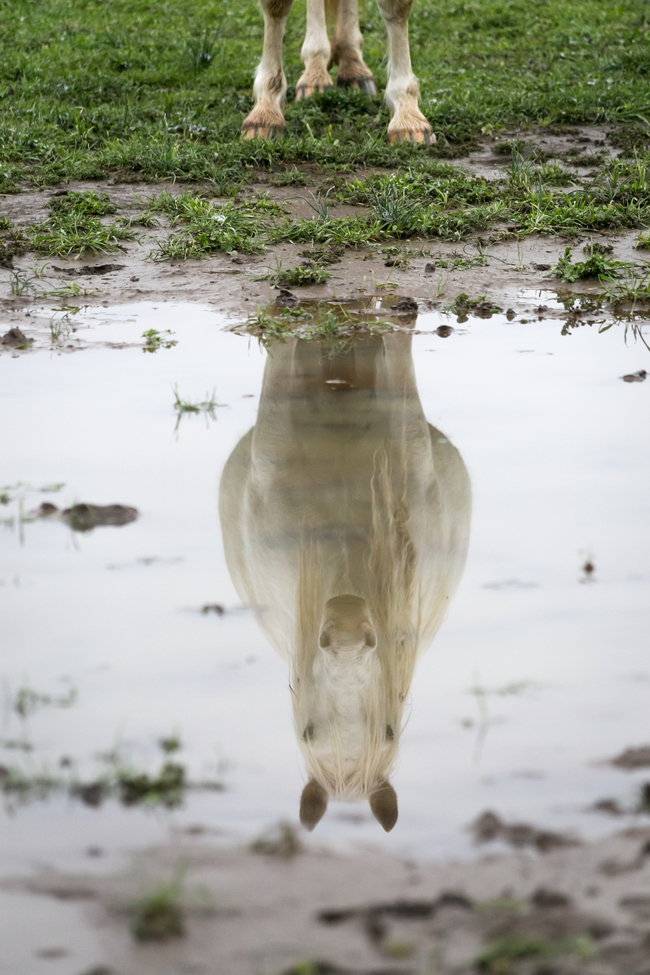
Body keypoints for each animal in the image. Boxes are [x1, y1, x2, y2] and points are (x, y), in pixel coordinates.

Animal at [241, 0, 434, 144]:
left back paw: (352, 66)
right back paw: (315, 72)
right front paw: (265, 112)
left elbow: (397, 8)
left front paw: (408, 115)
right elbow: (276, 6)